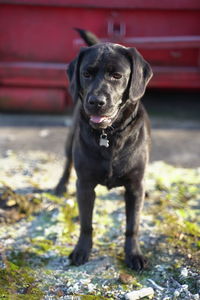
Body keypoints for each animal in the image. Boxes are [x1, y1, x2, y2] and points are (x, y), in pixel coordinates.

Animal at [55, 29, 152, 270]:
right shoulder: (85, 186)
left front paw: (133, 254)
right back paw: (60, 185)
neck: (110, 135)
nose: (96, 101)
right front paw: (82, 250)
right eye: (86, 74)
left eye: (116, 75)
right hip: (69, 140)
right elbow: (86, 223)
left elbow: (132, 226)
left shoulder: (134, 187)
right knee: (67, 163)